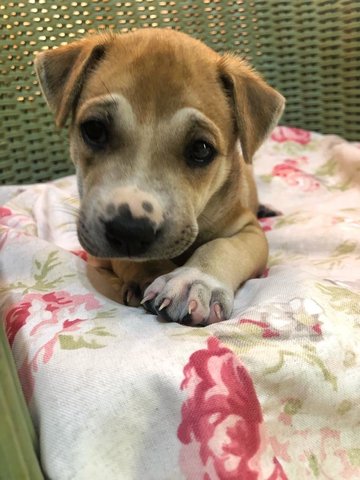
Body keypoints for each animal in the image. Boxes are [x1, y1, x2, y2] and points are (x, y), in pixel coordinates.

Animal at [35, 29, 286, 326]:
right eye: (94, 129)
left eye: (201, 149)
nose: (129, 229)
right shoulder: (102, 255)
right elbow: (129, 259)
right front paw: (150, 274)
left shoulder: (248, 229)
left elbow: (224, 247)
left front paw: (195, 281)